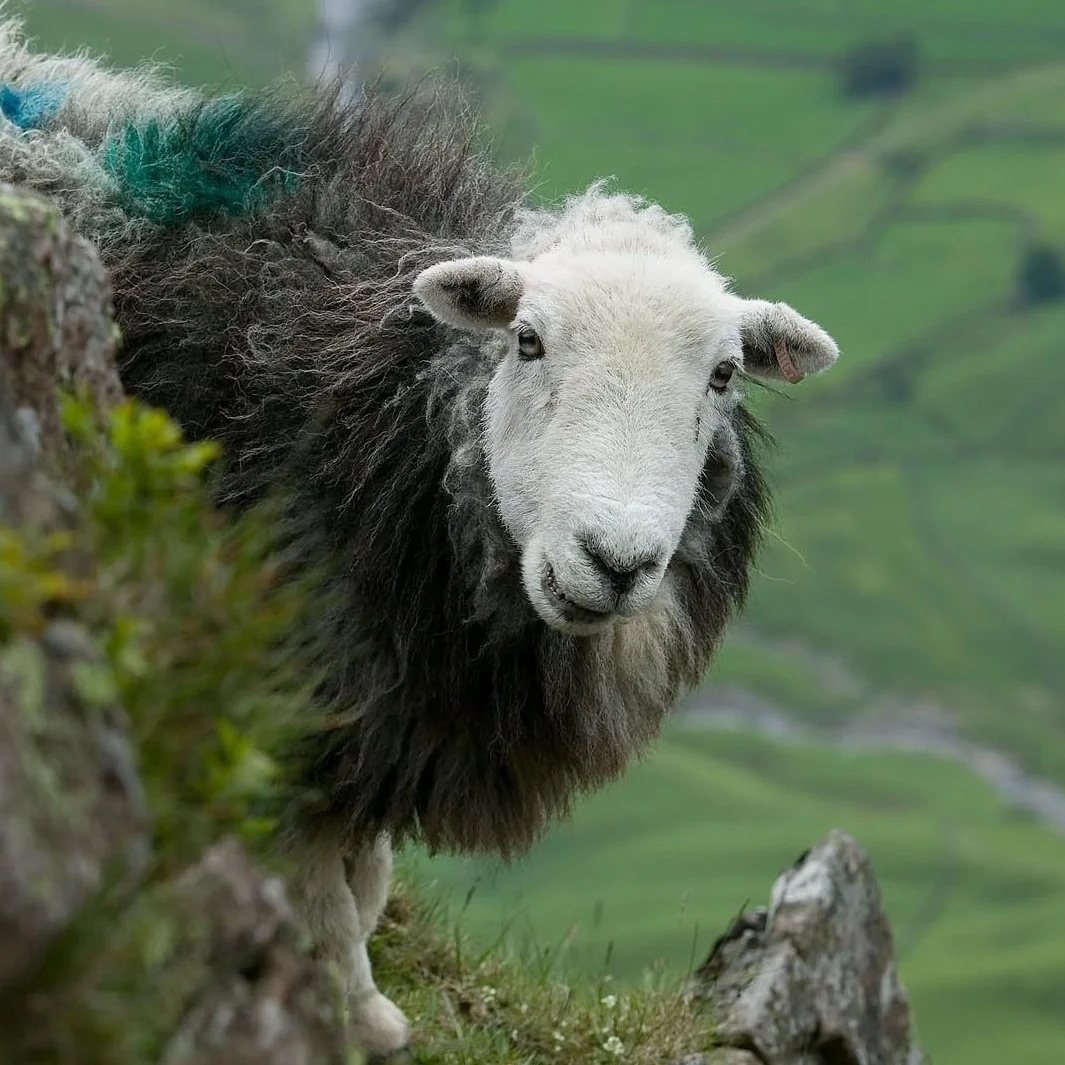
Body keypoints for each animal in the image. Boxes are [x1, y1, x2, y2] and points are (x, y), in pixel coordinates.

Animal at [0, 21, 840, 1061]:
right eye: (526, 340)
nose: (614, 562)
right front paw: (343, 1011)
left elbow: (363, 879)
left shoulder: (389, 706)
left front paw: (354, 1000)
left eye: (723, 374)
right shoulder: (289, 685)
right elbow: (321, 888)